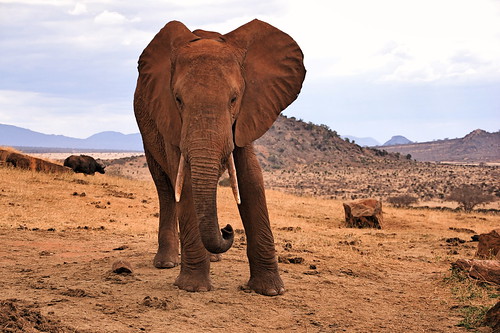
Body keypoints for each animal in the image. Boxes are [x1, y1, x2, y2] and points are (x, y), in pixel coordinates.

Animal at [133, 18, 304, 296]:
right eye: (178, 99)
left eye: (234, 99)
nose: (227, 229)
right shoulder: (169, 117)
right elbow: (185, 182)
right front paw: (193, 288)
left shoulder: (249, 112)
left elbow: (250, 177)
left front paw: (270, 291)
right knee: (165, 188)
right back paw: (167, 263)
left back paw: (212, 258)